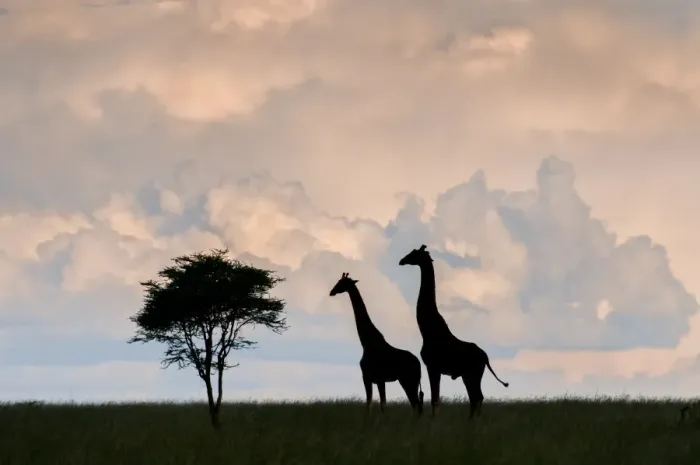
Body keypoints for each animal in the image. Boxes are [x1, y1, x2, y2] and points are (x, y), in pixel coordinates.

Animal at [330, 272, 424, 415]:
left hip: (408, 380)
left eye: (342, 283)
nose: (332, 292)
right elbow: (373, 404)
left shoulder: (373, 378)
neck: (367, 343)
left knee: (416, 404)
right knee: (416, 405)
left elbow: (379, 405)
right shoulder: (373, 379)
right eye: (338, 281)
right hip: (410, 381)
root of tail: (418, 364)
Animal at [399, 245, 509, 418]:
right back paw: (471, 420)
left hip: (472, 373)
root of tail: (485, 357)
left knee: (477, 396)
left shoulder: (433, 366)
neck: (427, 331)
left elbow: (435, 399)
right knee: (477, 396)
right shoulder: (434, 368)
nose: (402, 261)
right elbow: (435, 398)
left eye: (415, 254)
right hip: (469, 375)